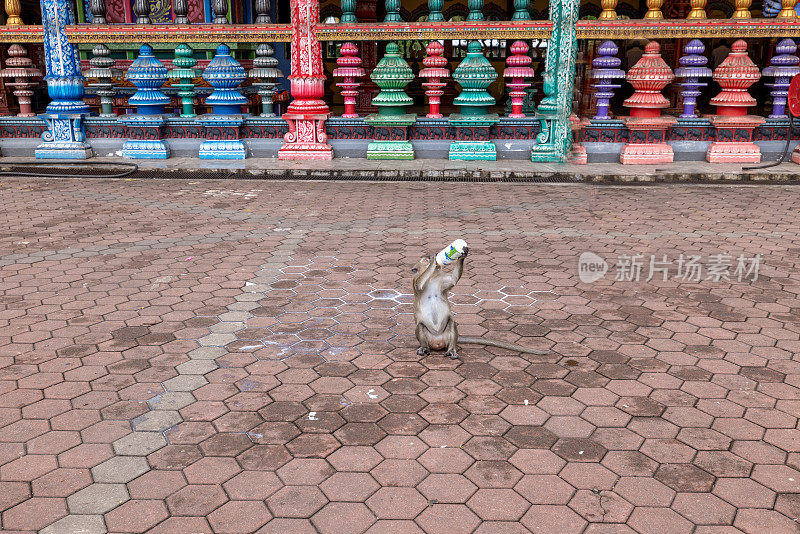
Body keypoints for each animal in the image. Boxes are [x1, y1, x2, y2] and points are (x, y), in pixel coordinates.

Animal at [412, 250, 552, 360]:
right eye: (425, 260)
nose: (431, 257)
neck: (433, 278)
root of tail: (437, 342)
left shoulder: (443, 280)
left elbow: (453, 279)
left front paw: (462, 255)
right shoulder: (415, 281)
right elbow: (419, 285)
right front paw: (434, 262)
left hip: (446, 337)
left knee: (451, 322)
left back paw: (451, 349)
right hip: (428, 337)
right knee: (421, 325)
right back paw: (424, 347)